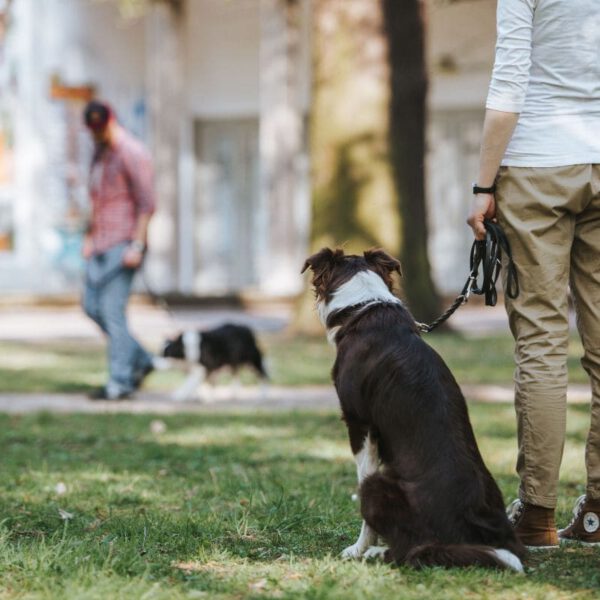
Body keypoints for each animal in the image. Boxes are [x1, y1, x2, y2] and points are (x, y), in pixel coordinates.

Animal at [302, 248, 524, 572]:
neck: (362, 307)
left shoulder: (360, 423)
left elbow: (363, 492)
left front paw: (358, 548)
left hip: (378, 485)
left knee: (412, 551)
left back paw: (376, 553)